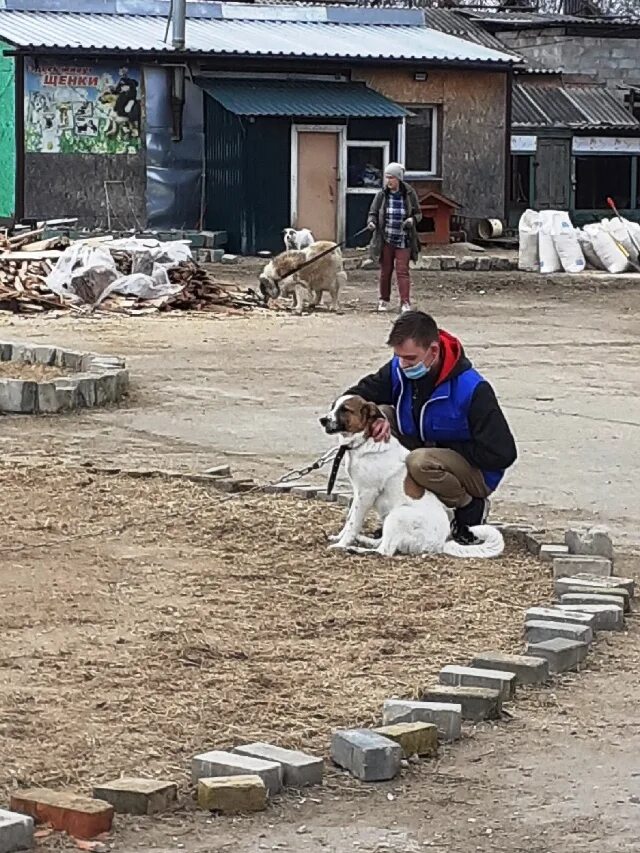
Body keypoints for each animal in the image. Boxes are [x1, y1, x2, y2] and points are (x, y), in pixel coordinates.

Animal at [320, 394, 504, 560]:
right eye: (333, 407)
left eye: (345, 409)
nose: (322, 420)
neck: (365, 442)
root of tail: (440, 544)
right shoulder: (358, 492)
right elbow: (349, 518)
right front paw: (339, 538)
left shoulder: (366, 494)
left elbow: (353, 523)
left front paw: (341, 544)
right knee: (382, 543)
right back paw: (364, 540)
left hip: (397, 515)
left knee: (385, 551)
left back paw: (354, 549)